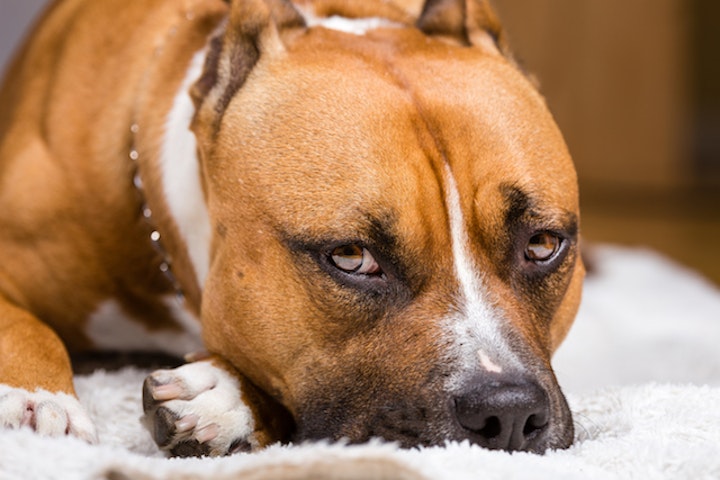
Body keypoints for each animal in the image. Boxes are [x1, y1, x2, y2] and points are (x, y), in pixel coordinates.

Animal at [0, 0, 584, 456]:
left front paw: (228, 397)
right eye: (351, 257)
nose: (508, 412)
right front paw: (38, 400)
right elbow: (25, 326)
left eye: (542, 245)